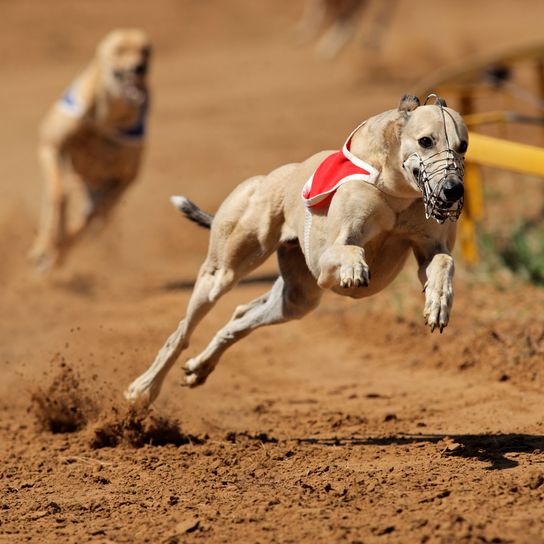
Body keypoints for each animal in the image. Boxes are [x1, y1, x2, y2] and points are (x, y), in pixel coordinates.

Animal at [30, 28, 152, 270]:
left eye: (146, 50)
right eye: (119, 49)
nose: (140, 67)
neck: (106, 117)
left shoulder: (124, 178)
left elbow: (90, 219)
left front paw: (57, 252)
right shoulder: (50, 145)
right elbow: (58, 195)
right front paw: (46, 248)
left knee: (91, 220)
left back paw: (57, 252)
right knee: (58, 204)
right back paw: (45, 247)